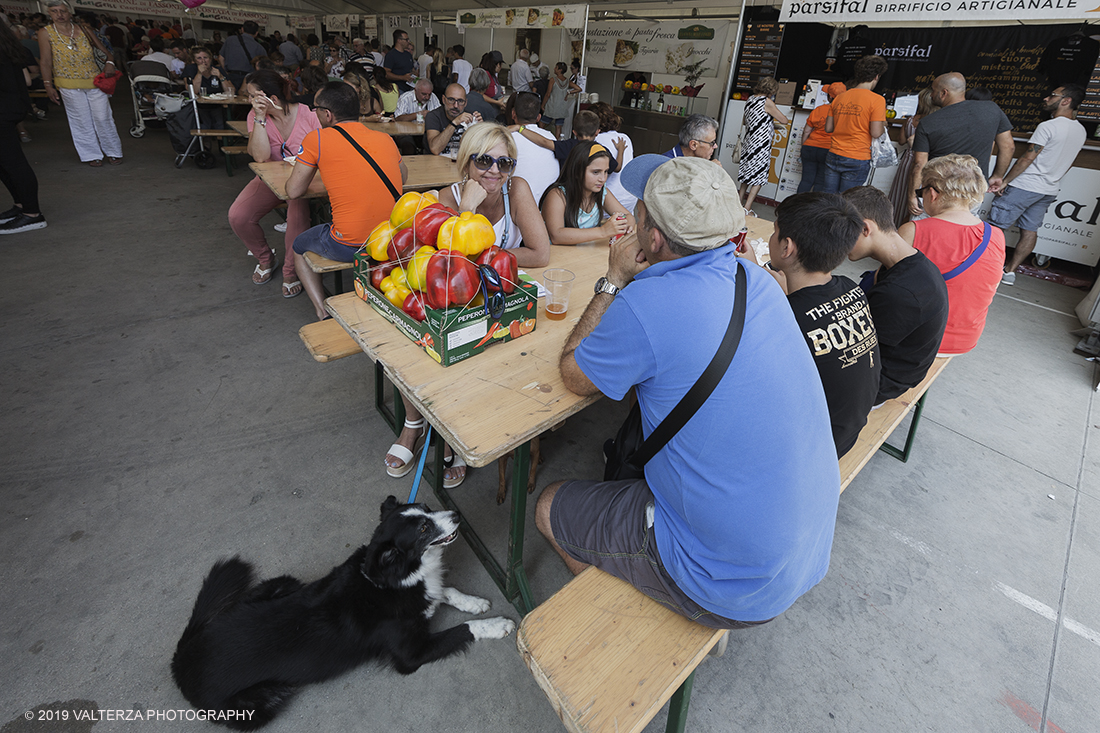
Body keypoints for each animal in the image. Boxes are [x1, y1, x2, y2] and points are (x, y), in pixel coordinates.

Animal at [171, 493, 514, 726]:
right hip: (257, 705)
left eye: (428, 507)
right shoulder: (410, 655)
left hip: (284, 582)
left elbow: (445, 591)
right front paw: (497, 624)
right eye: (422, 530)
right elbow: (461, 629)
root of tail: (182, 656)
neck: (392, 578)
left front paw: (474, 602)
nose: (456, 514)